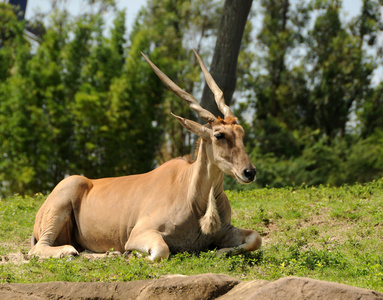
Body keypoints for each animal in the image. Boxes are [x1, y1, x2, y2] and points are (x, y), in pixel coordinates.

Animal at [30, 50, 262, 262]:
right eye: (219, 135)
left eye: (241, 133)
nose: (249, 172)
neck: (196, 198)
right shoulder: (139, 234)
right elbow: (161, 251)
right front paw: (133, 255)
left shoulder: (226, 230)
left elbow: (255, 238)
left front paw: (221, 251)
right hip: (62, 201)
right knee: (39, 249)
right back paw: (70, 252)